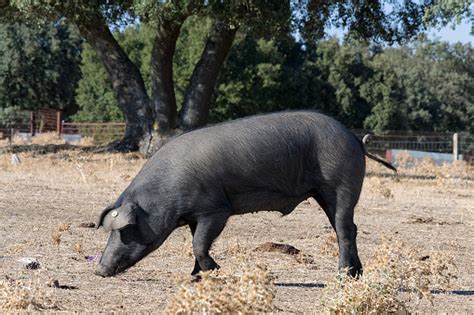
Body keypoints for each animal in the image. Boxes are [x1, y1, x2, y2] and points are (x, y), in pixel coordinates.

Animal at [95, 111, 396, 278]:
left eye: (125, 229)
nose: (99, 270)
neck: (165, 195)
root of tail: (355, 138)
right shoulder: (195, 216)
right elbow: (195, 243)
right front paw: (196, 277)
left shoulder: (216, 210)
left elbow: (199, 244)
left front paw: (216, 272)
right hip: (323, 193)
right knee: (349, 228)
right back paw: (357, 274)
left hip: (341, 184)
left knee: (344, 230)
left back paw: (342, 276)